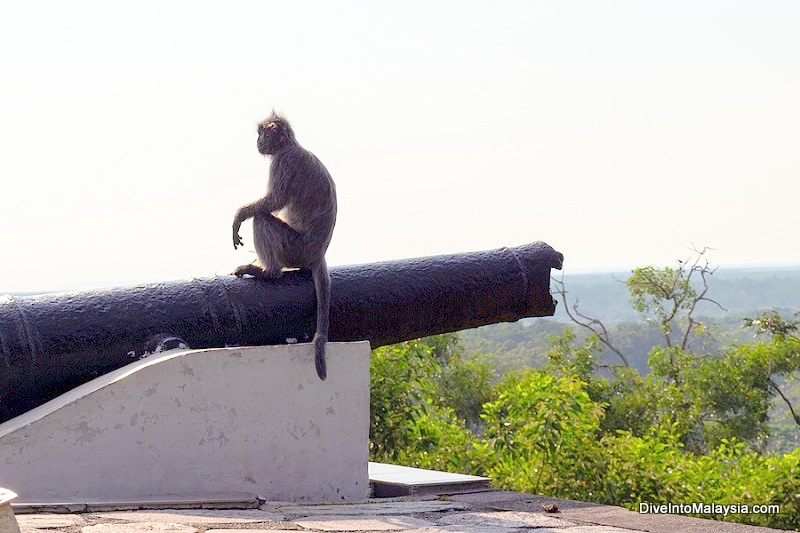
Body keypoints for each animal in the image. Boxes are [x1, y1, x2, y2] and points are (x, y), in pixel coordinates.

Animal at [234, 111, 340, 378]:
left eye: (262, 134)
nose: (257, 142)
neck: (290, 146)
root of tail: (318, 254)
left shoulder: (283, 162)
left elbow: (274, 201)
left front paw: (239, 216)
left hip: (295, 248)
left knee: (262, 218)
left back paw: (268, 272)